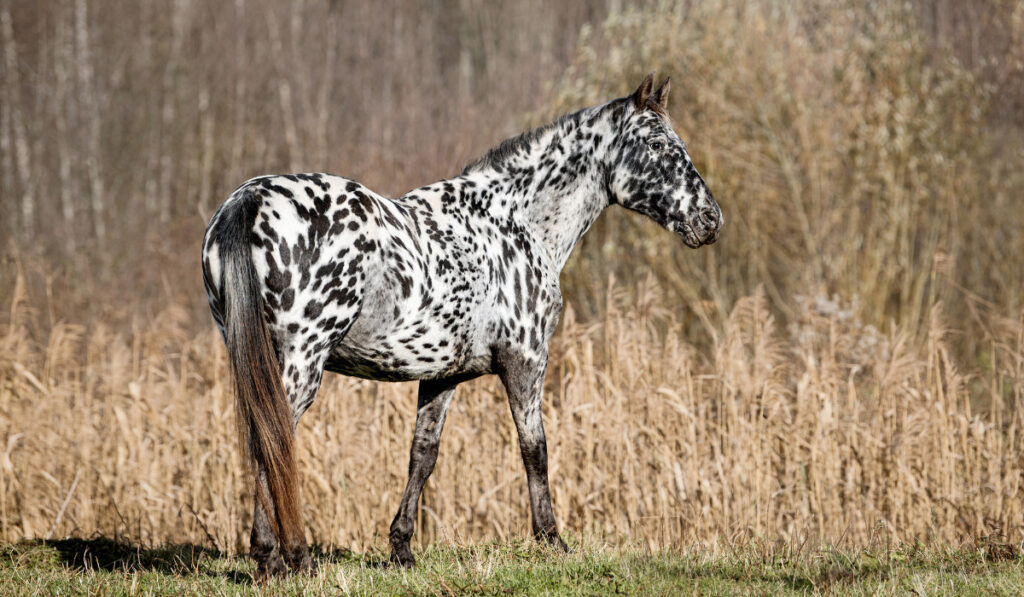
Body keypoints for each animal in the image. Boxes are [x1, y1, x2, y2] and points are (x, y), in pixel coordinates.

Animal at [201, 72, 720, 581]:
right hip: (301, 361)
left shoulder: (440, 376)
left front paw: (402, 549)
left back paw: (272, 558)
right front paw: (552, 541)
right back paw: (291, 557)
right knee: (275, 438)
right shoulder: (525, 362)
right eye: (658, 144)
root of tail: (249, 199)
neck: (514, 225)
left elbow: (423, 455)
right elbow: (535, 448)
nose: (710, 219)